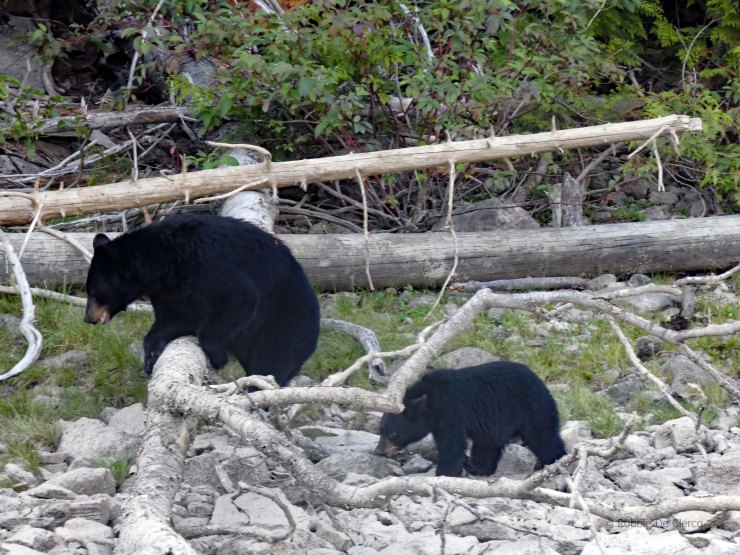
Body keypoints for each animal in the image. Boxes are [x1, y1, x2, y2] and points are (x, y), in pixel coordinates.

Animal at [84, 214, 320, 386]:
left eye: (93, 292)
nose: (88, 318)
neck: (167, 263)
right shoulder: (170, 293)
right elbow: (172, 320)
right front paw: (150, 357)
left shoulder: (209, 268)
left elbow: (240, 299)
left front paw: (217, 356)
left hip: (285, 324)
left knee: (271, 361)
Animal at [375, 361, 566, 477]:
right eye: (381, 431)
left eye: (392, 433)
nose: (379, 451)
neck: (431, 401)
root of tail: (542, 383)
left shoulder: (451, 411)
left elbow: (452, 445)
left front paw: (444, 473)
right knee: (487, 445)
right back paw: (475, 466)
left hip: (532, 408)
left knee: (543, 438)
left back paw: (555, 462)